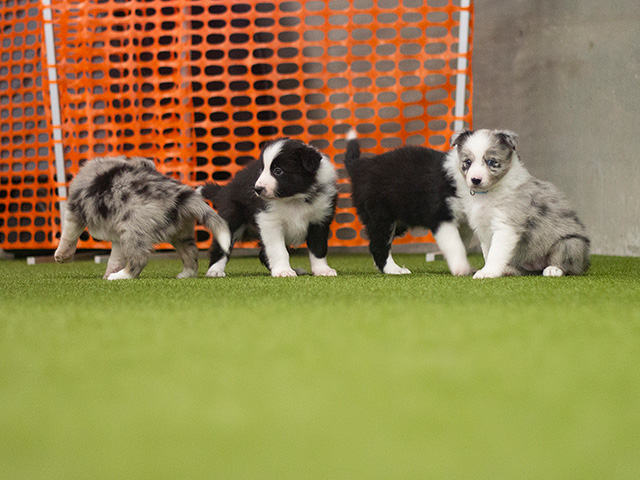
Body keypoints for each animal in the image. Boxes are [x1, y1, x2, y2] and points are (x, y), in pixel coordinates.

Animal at [54, 155, 231, 280]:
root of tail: (181, 197)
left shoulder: (74, 210)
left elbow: (68, 234)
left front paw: (61, 255)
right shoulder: (118, 237)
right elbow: (115, 258)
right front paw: (108, 272)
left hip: (134, 230)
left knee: (140, 258)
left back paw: (121, 276)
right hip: (180, 233)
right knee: (191, 253)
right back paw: (186, 274)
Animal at [198, 138, 338, 277]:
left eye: (278, 171)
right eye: (262, 170)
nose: (257, 189)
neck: (294, 199)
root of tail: (224, 189)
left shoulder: (320, 220)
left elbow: (318, 248)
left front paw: (322, 270)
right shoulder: (270, 222)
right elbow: (278, 250)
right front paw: (283, 271)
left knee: (262, 254)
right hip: (232, 217)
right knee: (220, 247)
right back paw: (215, 271)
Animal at [344, 131, 473, 275]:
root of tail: (360, 167)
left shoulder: (465, 222)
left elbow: (465, 243)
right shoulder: (440, 215)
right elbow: (454, 244)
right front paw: (461, 268)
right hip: (381, 215)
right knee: (379, 244)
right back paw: (394, 269)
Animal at [446, 129, 590, 278]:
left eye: (491, 162)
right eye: (468, 162)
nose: (475, 179)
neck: (488, 193)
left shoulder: (506, 225)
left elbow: (495, 253)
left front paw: (487, 272)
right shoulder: (482, 228)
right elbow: (487, 252)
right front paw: (490, 270)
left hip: (571, 243)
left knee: (567, 263)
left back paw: (553, 269)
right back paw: (509, 269)